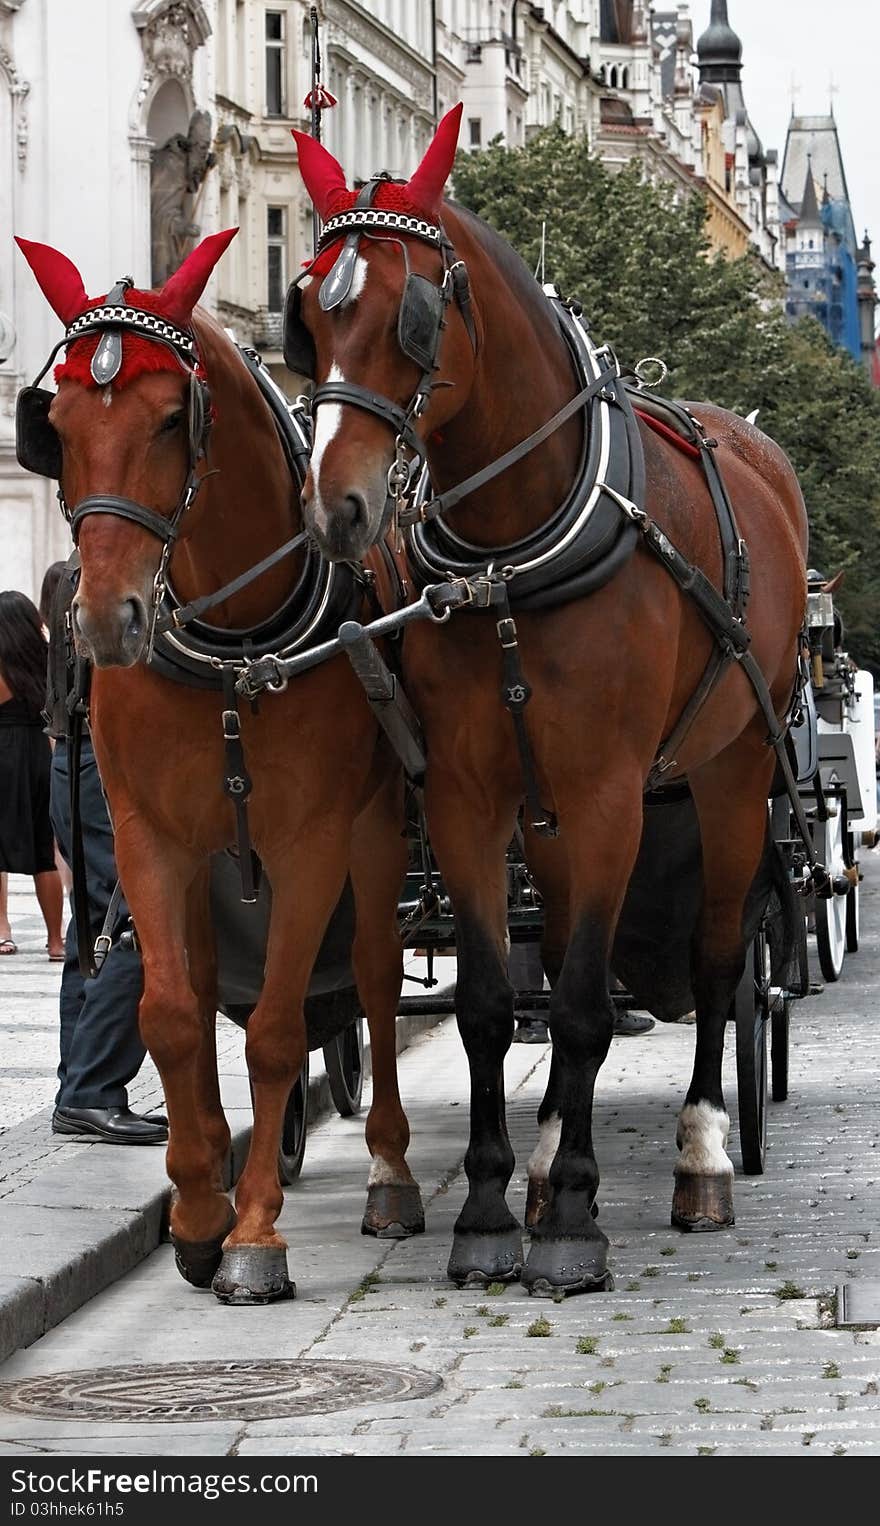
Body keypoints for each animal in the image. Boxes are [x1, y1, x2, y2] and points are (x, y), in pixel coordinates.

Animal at [15, 231, 420, 1306]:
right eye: (55, 423)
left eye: (170, 419)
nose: (104, 619)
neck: (236, 647)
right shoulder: (151, 839)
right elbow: (169, 1015)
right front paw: (198, 1214)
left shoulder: (311, 840)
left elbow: (278, 1027)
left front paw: (254, 1237)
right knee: (205, 998)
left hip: (374, 836)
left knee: (373, 980)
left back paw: (389, 1174)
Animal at [288, 107, 811, 1294]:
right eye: (310, 317)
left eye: (414, 315)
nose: (337, 508)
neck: (509, 558)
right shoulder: (471, 796)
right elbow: (493, 1002)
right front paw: (491, 1209)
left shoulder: (613, 791)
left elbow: (577, 1005)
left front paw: (572, 1221)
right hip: (552, 812)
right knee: (568, 934)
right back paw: (539, 1159)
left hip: (733, 771)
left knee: (717, 959)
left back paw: (700, 1154)